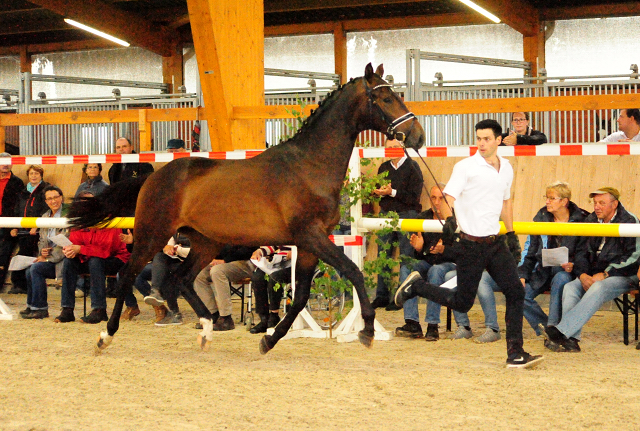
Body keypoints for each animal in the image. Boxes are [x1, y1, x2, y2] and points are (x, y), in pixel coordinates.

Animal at [69, 64, 424, 354]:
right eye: (385, 98)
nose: (418, 136)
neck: (308, 166)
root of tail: (154, 176)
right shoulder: (311, 236)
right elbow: (352, 272)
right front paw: (366, 331)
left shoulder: (311, 243)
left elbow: (301, 296)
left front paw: (269, 339)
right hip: (153, 234)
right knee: (129, 276)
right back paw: (106, 336)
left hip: (204, 242)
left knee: (182, 279)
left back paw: (207, 331)